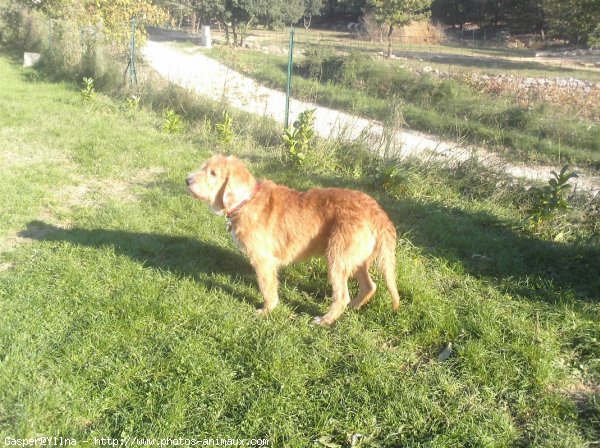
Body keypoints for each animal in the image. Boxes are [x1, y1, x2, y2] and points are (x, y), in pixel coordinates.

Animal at [185, 156, 400, 324]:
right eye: (204, 168)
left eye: (213, 173)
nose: (187, 180)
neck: (246, 201)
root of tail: (376, 211)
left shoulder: (263, 261)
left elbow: (268, 289)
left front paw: (267, 310)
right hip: (355, 260)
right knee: (369, 286)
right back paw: (353, 307)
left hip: (337, 258)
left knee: (342, 297)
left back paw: (325, 320)